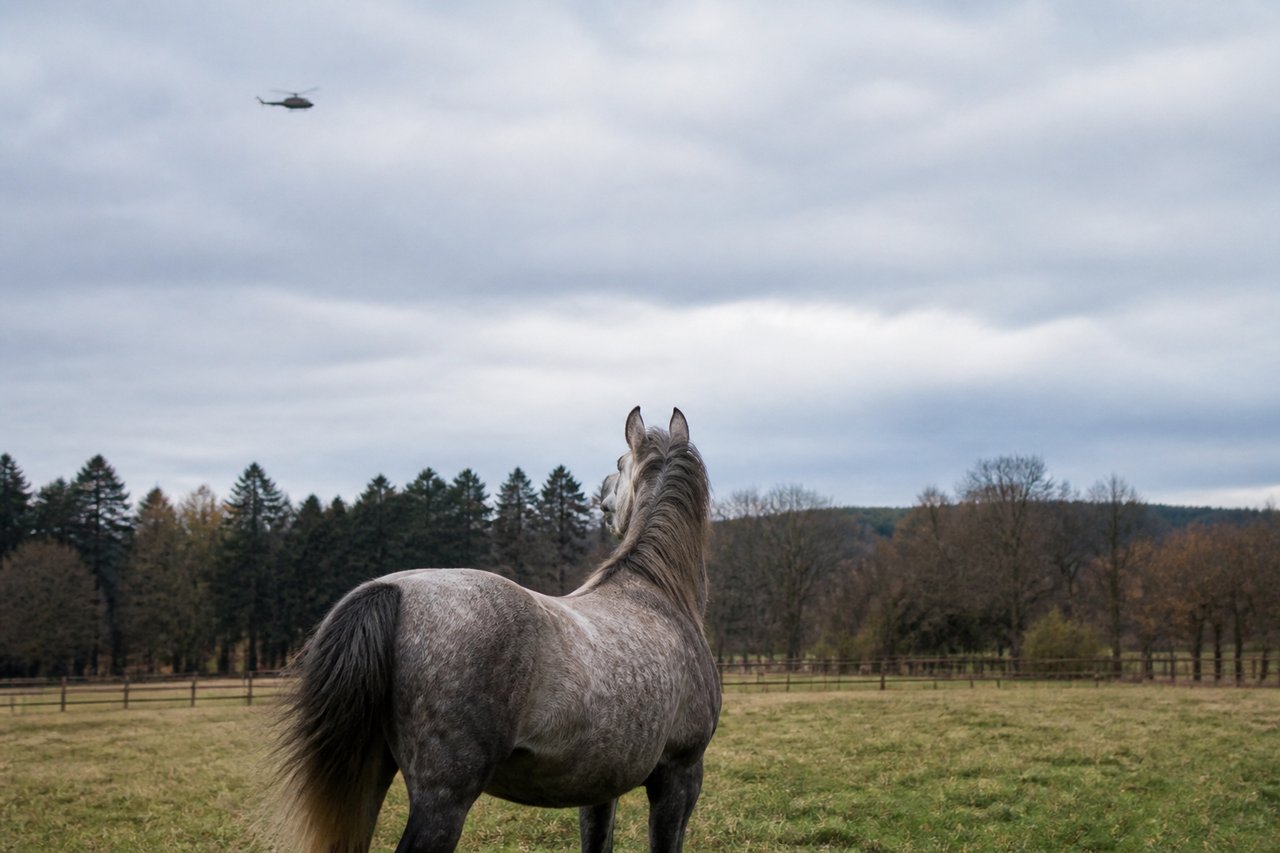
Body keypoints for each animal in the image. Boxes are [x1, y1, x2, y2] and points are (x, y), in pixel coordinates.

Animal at [272, 406, 721, 852]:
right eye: (621, 461)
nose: (603, 497)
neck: (655, 592)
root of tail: (394, 590)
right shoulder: (680, 774)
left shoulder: (599, 788)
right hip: (444, 797)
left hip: (370, 778)